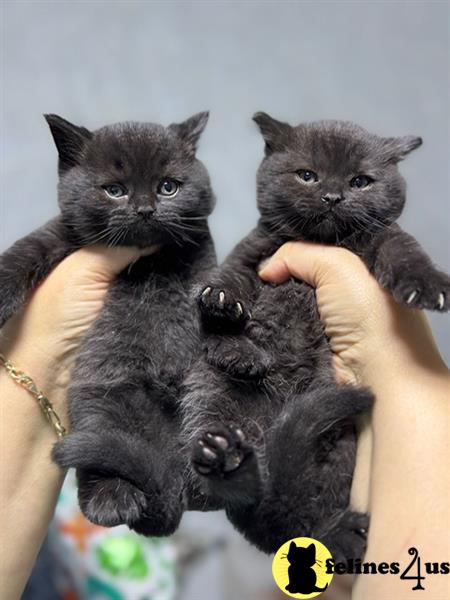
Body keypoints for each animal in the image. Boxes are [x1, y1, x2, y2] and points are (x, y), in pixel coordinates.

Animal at [0, 112, 218, 536]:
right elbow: (26, 249)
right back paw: (112, 501)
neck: (146, 259)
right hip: (103, 400)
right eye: (115, 190)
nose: (145, 208)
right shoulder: (63, 234)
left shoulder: (200, 246)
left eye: (168, 187)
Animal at [184, 115, 450, 560]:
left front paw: (428, 285)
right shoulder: (254, 254)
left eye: (361, 181)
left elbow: (404, 249)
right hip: (213, 400)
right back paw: (224, 456)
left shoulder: (383, 237)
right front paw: (228, 325)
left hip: (338, 447)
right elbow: (225, 282)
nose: (332, 196)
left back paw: (335, 531)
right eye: (307, 175)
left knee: (300, 515)